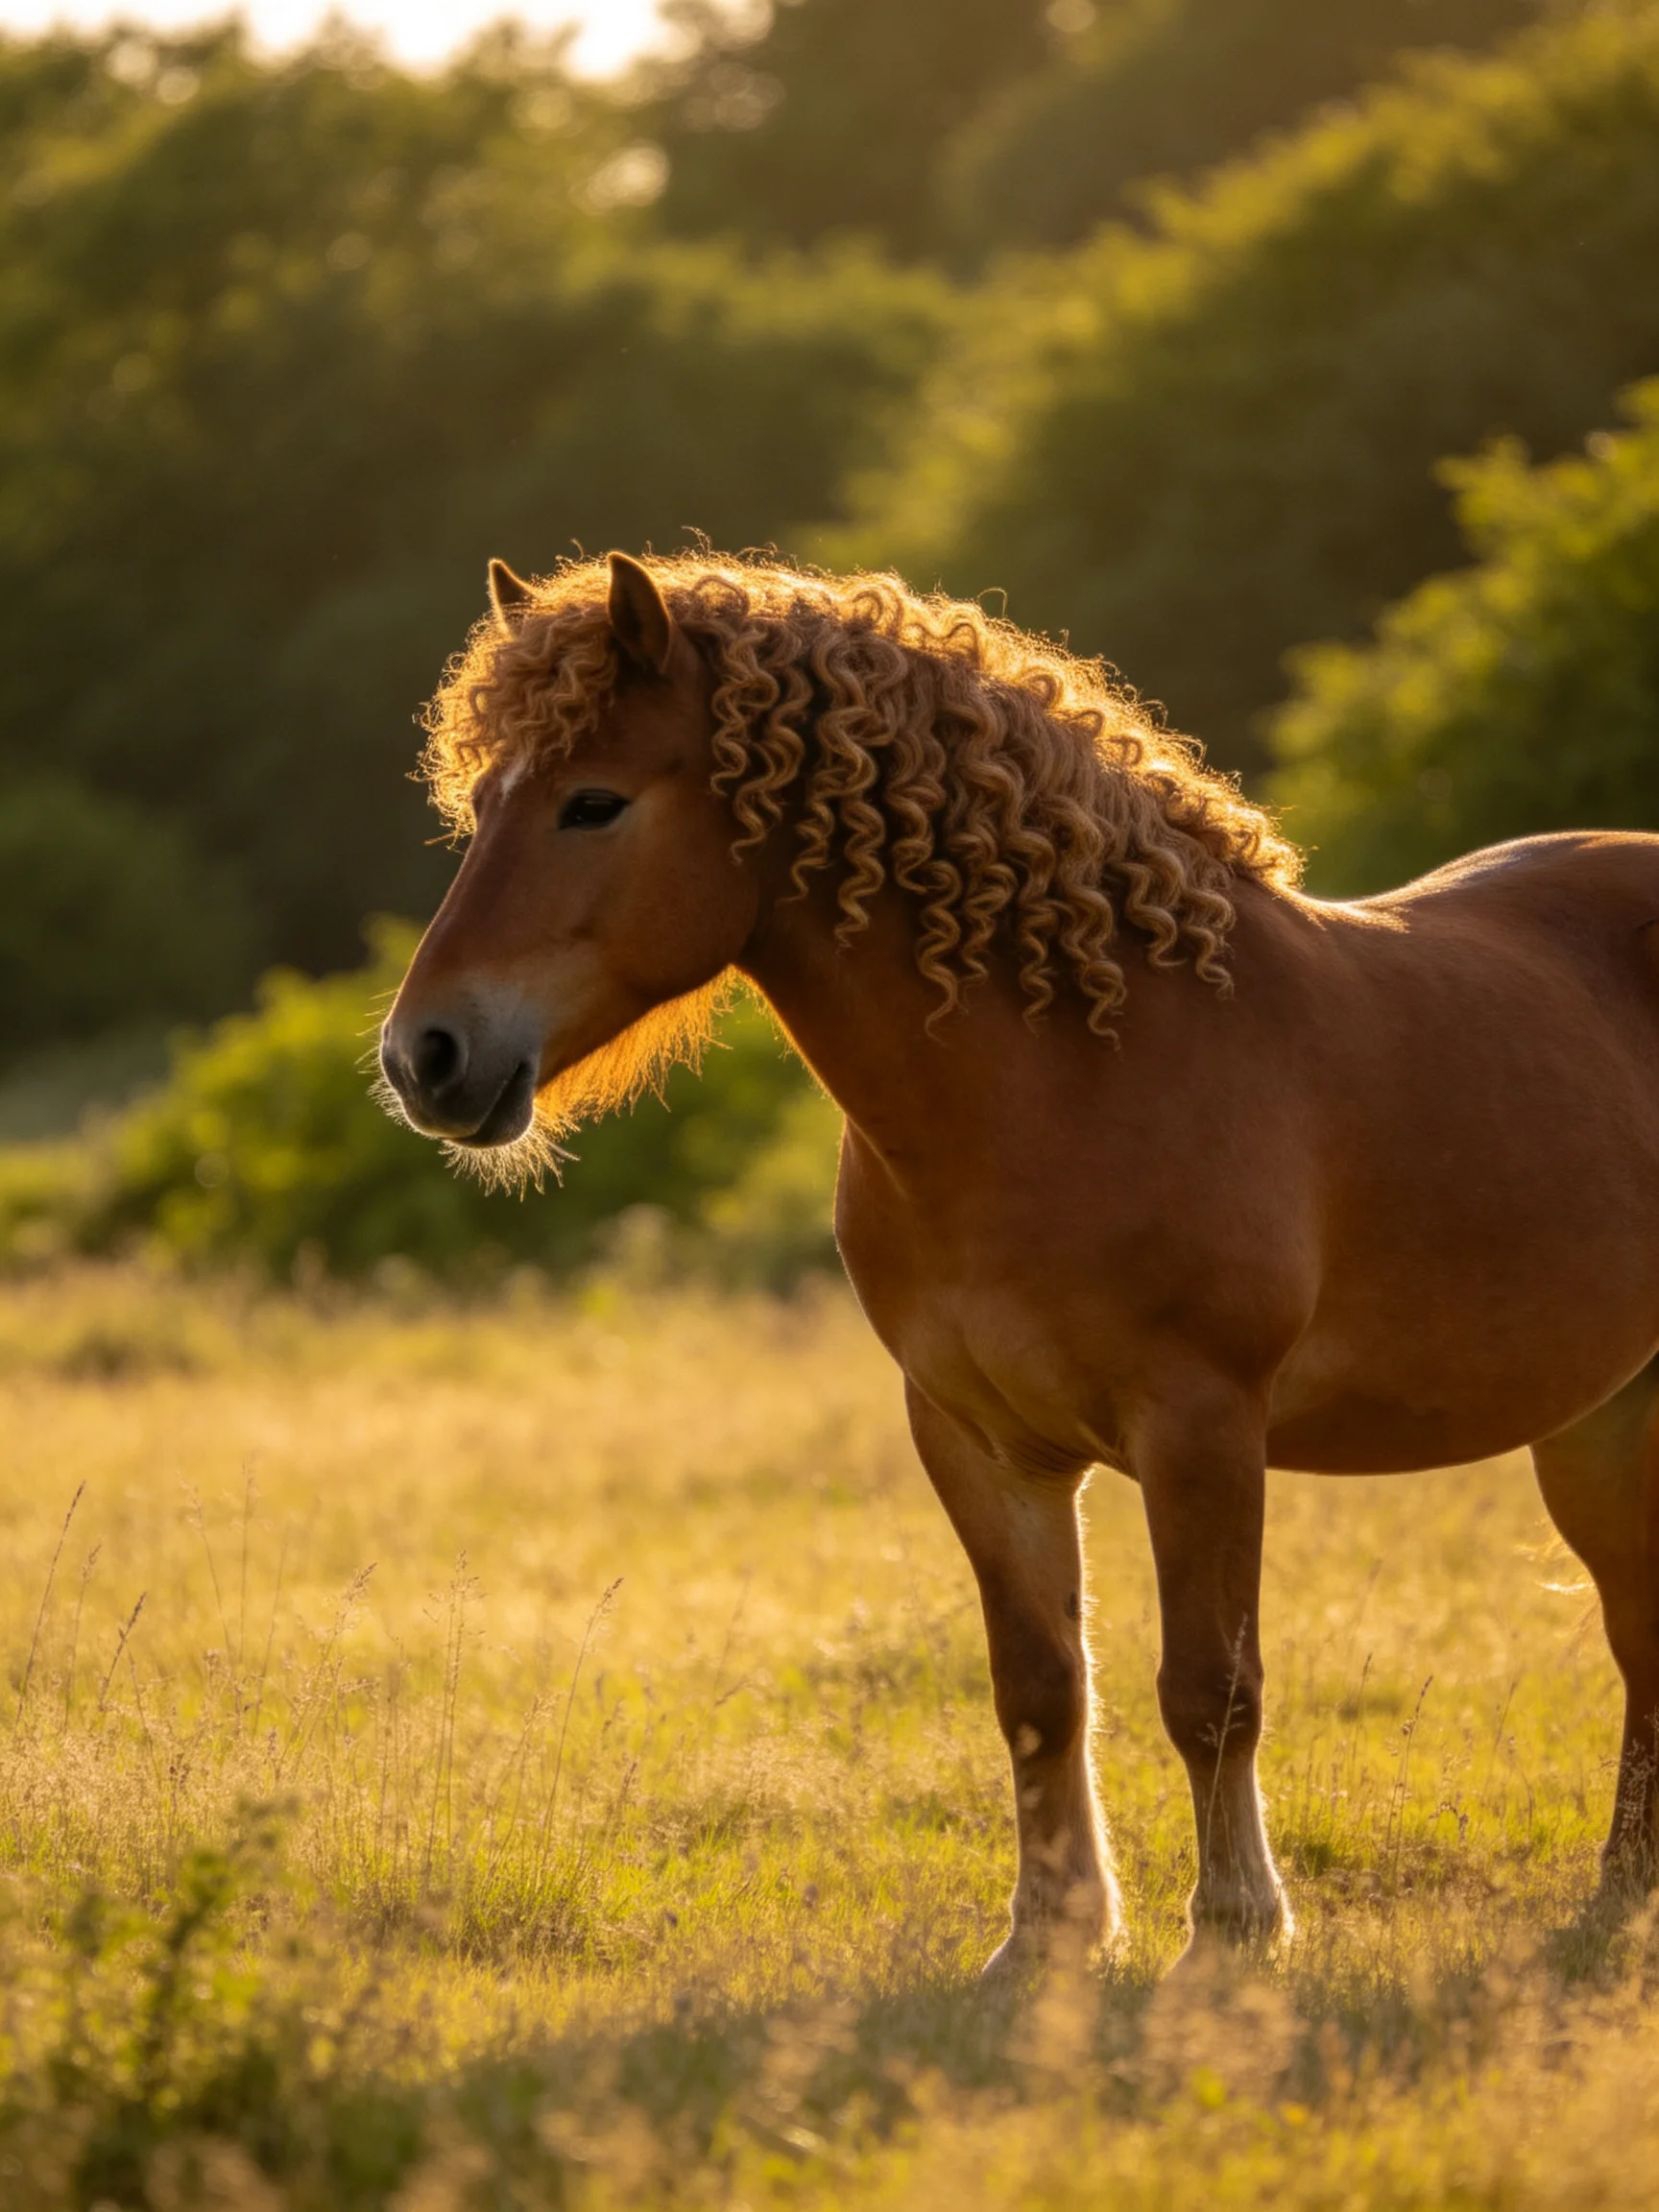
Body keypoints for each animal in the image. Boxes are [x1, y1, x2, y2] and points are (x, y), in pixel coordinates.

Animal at [379, 548, 1659, 1971]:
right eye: (483, 803)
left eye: (592, 803)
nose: (425, 1056)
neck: (1073, 1072)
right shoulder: (979, 1439)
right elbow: (1041, 1687)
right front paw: (1049, 1938)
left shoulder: (1202, 1427)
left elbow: (1211, 1689)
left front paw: (1231, 1933)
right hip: (1603, 1422)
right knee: (1642, 1637)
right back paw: (1619, 1897)